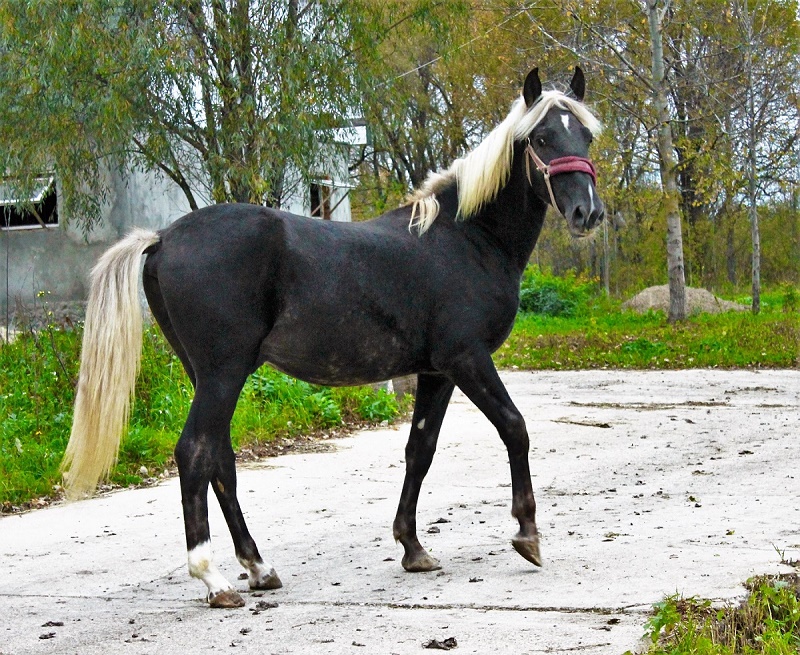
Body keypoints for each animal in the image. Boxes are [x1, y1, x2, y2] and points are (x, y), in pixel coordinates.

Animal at [61, 66, 600, 608]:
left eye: (586, 135)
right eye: (541, 138)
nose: (587, 214)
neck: (465, 239)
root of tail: (164, 237)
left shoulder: (436, 372)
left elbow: (419, 449)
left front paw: (412, 548)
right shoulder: (466, 360)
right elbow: (514, 427)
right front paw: (527, 535)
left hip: (207, 375)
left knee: (220, 458)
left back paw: (258, 568)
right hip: (222, 373)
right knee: (195, 453)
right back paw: (214, 580)